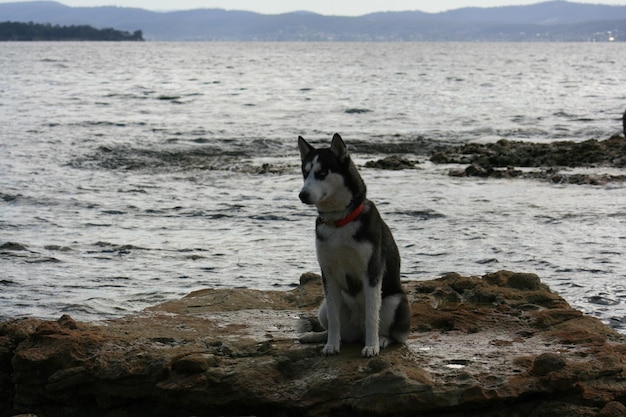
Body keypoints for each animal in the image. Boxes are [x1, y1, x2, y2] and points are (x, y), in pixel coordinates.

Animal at [296, 132, 410, 354]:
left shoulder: (372, 273)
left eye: (322, 172)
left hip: (394, 301)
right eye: (305, 173)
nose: (302, 195)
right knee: (335, 326)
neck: (339, 222)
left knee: (394, 334)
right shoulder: (328, 274)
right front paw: (331, 345)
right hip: (323, 306)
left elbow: (372, 317)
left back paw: (381, 339)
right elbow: (334, 321)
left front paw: (372, 347)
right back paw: (317, 337)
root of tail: (357, 333)